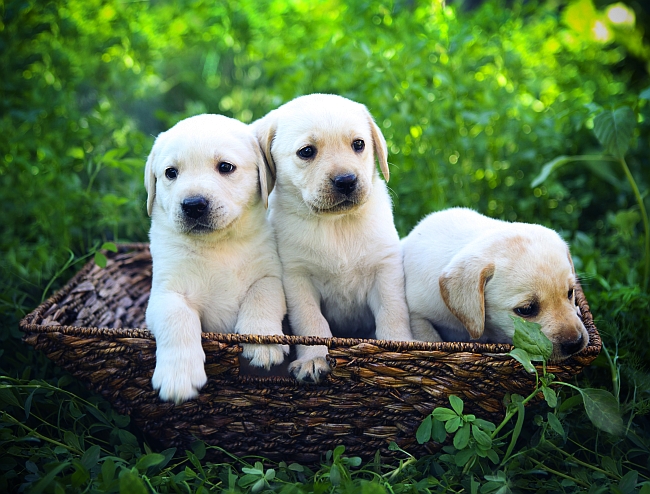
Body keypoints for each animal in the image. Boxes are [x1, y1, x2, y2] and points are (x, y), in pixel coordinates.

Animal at [144, 114, 286, 404]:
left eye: (225, 167)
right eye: (171, 173)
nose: (193, 205)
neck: (218, 245)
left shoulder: (269, 274)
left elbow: (262, 296)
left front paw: (264, 344)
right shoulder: (164, 293)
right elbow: (176, 317)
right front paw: (178, 375)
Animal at [252, 93, 410, 382]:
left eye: (358, 144)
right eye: (306, 152)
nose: (346, 180)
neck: (336, 226)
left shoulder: (385, 270)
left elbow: (393, 313)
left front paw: (400, 348)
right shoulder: (297, 278)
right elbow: (312, 323)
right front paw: (313, 359)